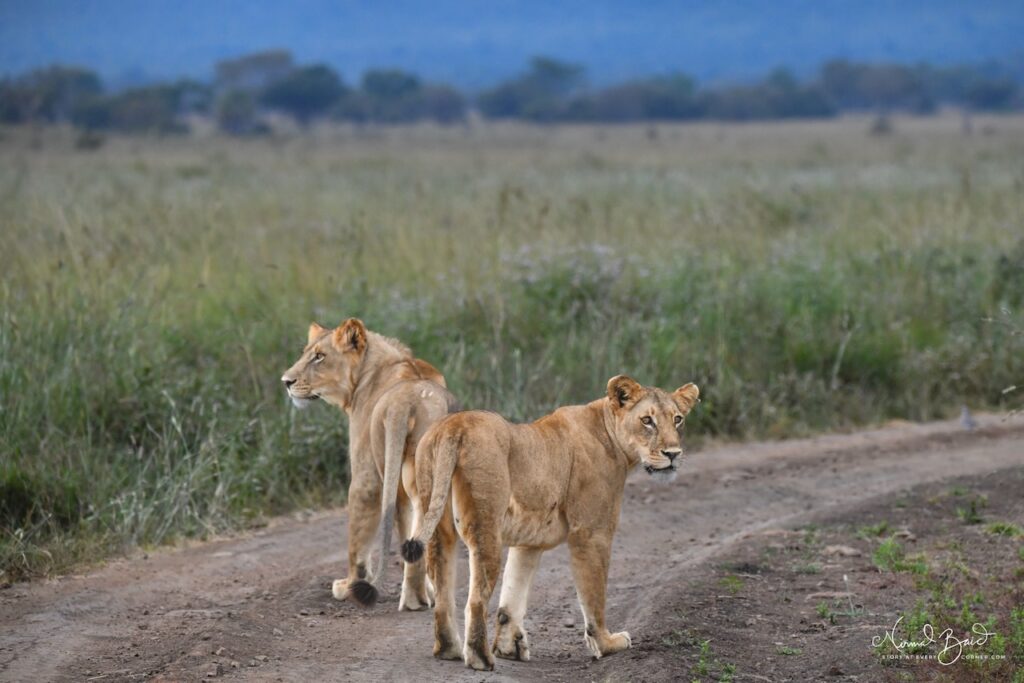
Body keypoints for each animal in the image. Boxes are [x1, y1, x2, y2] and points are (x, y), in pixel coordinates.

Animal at [282, 318, 458, 609]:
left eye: (319, 356)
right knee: (424, 525)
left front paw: (348, 586)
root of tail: (408, 400)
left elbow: (358, 540)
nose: (286, 381)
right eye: (306, 353)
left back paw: (412, 598)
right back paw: (427, 594)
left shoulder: (365, 478)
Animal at [401, 375, 700, 670]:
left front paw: (510, 647)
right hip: (486, 528)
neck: (611, 435)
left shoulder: (529, 542)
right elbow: (594, 595)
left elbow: (513, 595)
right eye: (647, 420)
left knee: (443, 594)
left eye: (677, 419)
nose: (673, 454)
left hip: (437, 522)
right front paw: (607, 643)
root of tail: (454, 427)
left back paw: (449, 650)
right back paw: (480, 659)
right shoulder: (592, 533)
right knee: (474, 600)